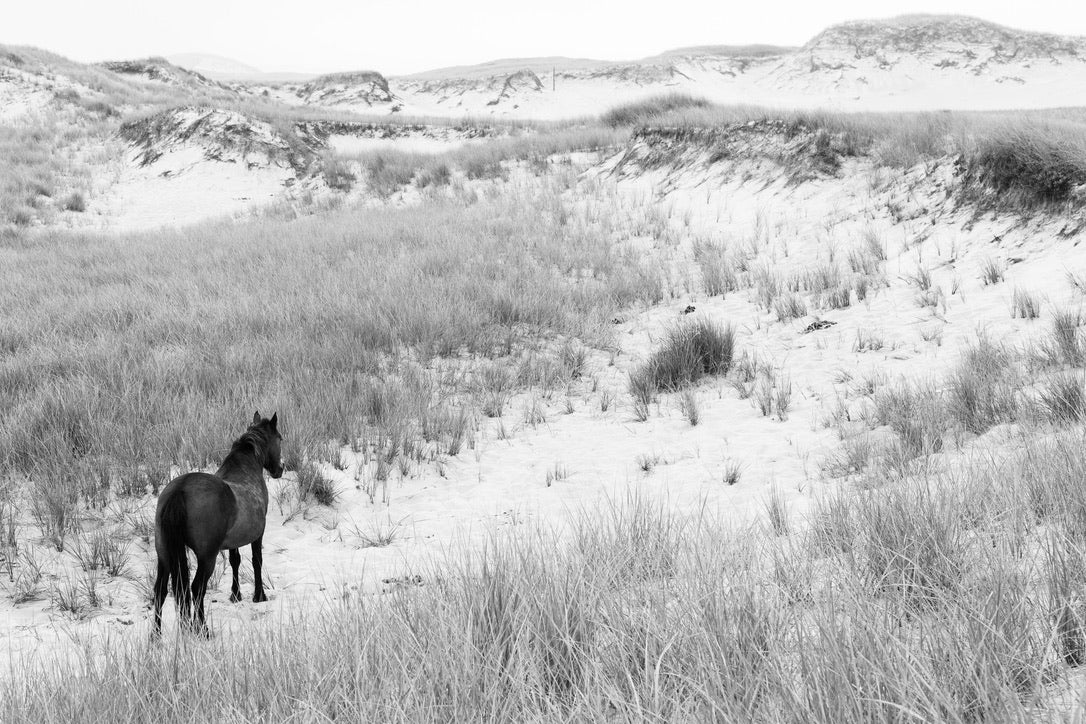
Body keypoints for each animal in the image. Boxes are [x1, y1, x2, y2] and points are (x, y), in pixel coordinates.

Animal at [157, 410, 286, 638]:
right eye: (279, 438)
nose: (280, 468)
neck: (244, 470)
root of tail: (179, 490)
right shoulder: (257, 534)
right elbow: (257, 560)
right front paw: (259, 595)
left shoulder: (233, 540)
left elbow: (235, 560)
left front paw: (236, 595)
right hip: (206, 557)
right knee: (197, 588)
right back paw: (203, 630)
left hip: (164, 555)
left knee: (160, 592)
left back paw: (155, 637)